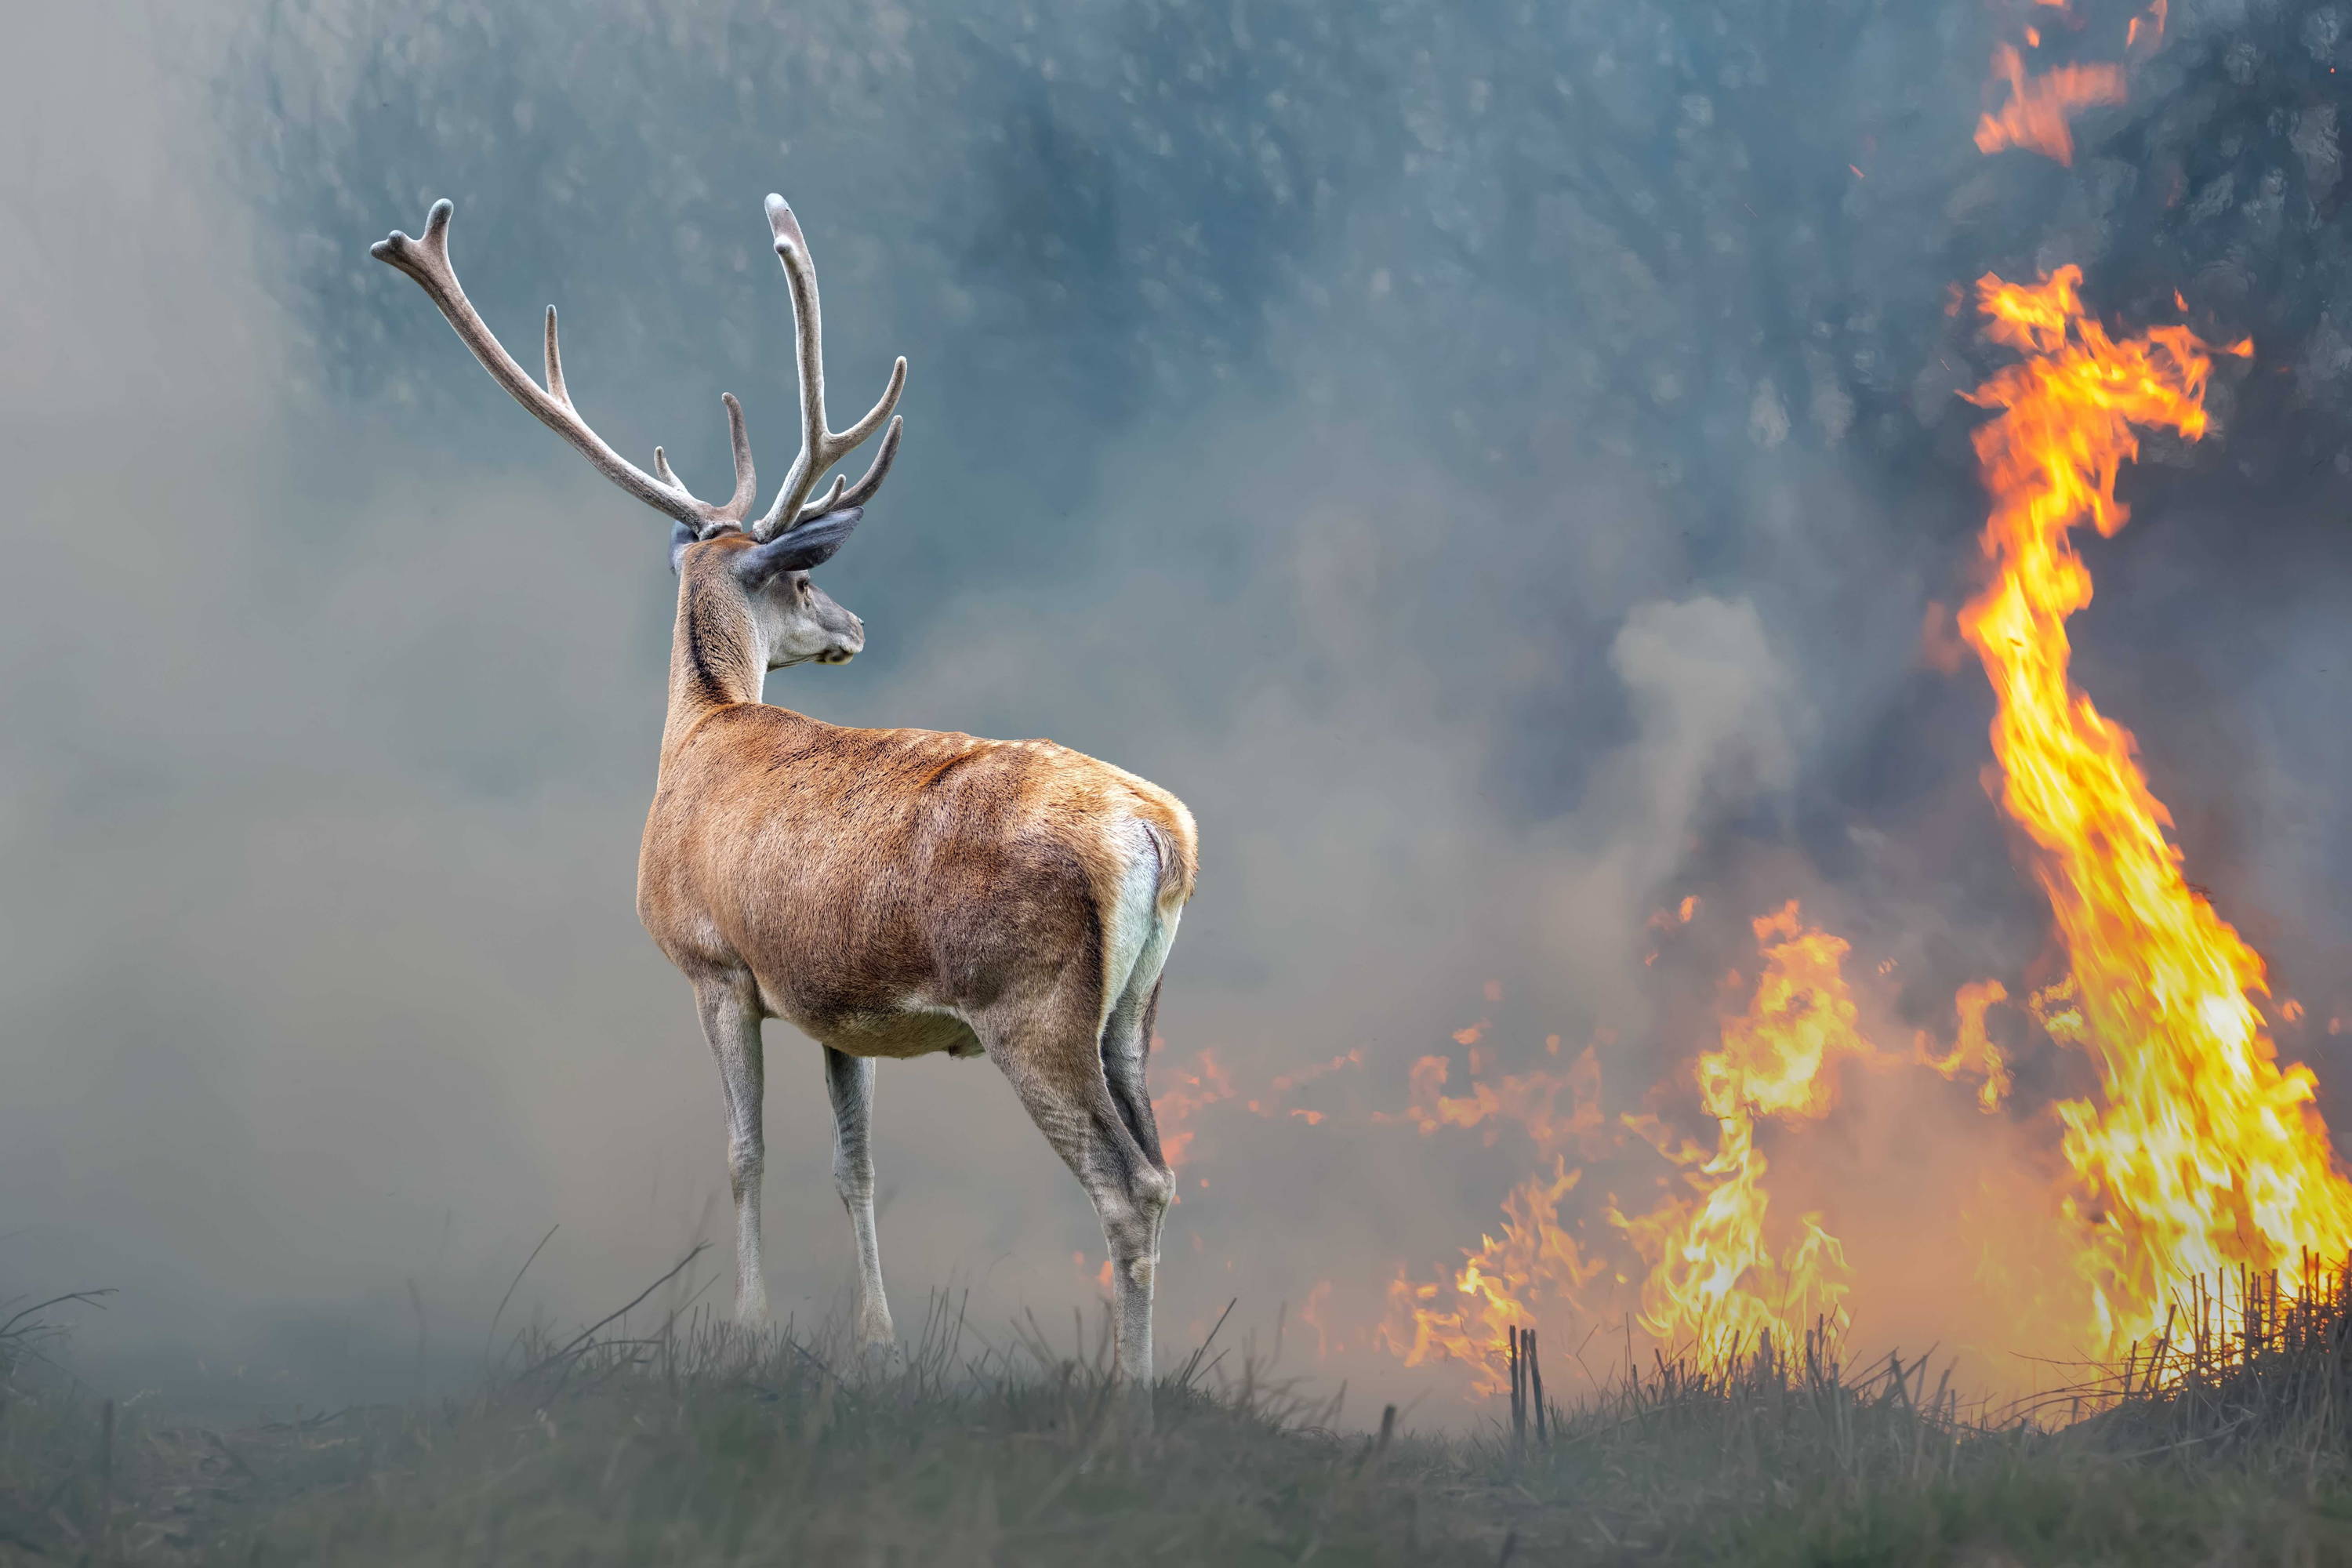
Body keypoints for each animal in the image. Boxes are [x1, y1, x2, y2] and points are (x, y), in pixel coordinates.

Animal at [376, 190, 1204, 1401]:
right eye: (808, 579)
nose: (854, 626)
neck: (699, 734)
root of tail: (1158, 831)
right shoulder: (833, 1002)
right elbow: (854, 1165)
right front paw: (878, 1342)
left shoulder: (714, 962)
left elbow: (744, 1152)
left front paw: (751, 1329)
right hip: (1136, 1012)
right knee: (1166, 1167)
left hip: (1033, 1003)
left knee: (1127, 1186)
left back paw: (1130, 1399)